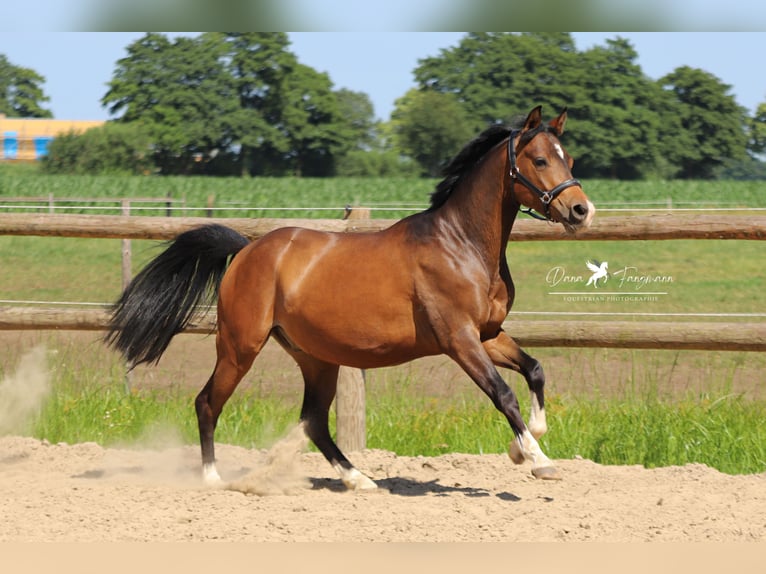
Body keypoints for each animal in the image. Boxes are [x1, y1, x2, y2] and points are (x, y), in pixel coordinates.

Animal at [106, 104, 592, 490]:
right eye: (540, 159)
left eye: (569, 158)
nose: (581, 210)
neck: (461, 245)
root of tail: (247, 249)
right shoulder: (458, 339)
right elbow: (503, 393)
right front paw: (537, 460)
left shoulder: (488, 333)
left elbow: (535, 369)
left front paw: (529, 439)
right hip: (240, 346)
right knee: (208, 402)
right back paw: (212, 479)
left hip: (316, 357)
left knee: (314, 421)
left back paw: (359, 479)